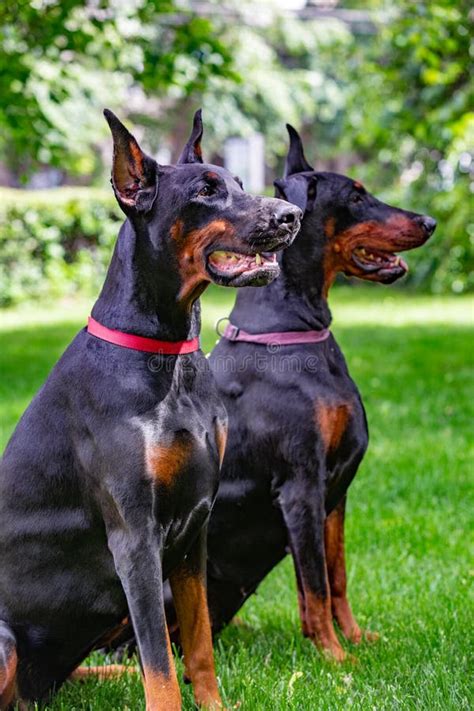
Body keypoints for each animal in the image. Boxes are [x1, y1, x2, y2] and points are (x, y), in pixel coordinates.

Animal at [0, 112, 300, 711]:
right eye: (205, 192)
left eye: (237, 182)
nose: (291, 215)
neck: (170, 358)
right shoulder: (136, 538)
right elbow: (160, 663)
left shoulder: (194, 530)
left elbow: (199, 643)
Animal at [191, 124, 436, 660]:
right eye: (356, 196)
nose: (429, 221)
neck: (295, 331)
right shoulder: (301, 483)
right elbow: (317, 582)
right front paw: (336, 658)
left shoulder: (335, 490)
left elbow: (332, 575)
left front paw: (354, 639)